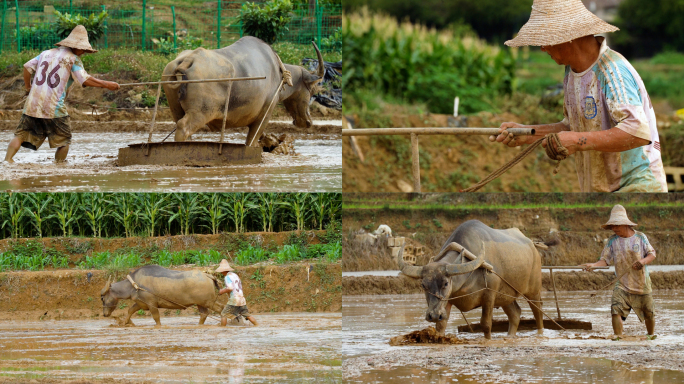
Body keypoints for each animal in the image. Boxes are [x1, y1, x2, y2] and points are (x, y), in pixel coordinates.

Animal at [162, 36, 324, 144]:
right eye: (312, 91)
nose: (307, 122)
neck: (278, 72)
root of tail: (188, 60)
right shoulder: (264, 116)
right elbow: (251, 141)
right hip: (200, 113)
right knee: (183, 128)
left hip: (176, 109)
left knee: (180, 125)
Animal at [396, 219, 552, 340]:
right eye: (423, 285)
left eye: (445, 283)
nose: (433, 315)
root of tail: (532, 245)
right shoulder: (448, 300)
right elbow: (441, 324)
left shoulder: (489, 295)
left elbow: (486, 323)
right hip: (505, 296)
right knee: (515, 314)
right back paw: (509, 336)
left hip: (533, 290)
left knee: (538, 312)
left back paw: (540, 333)